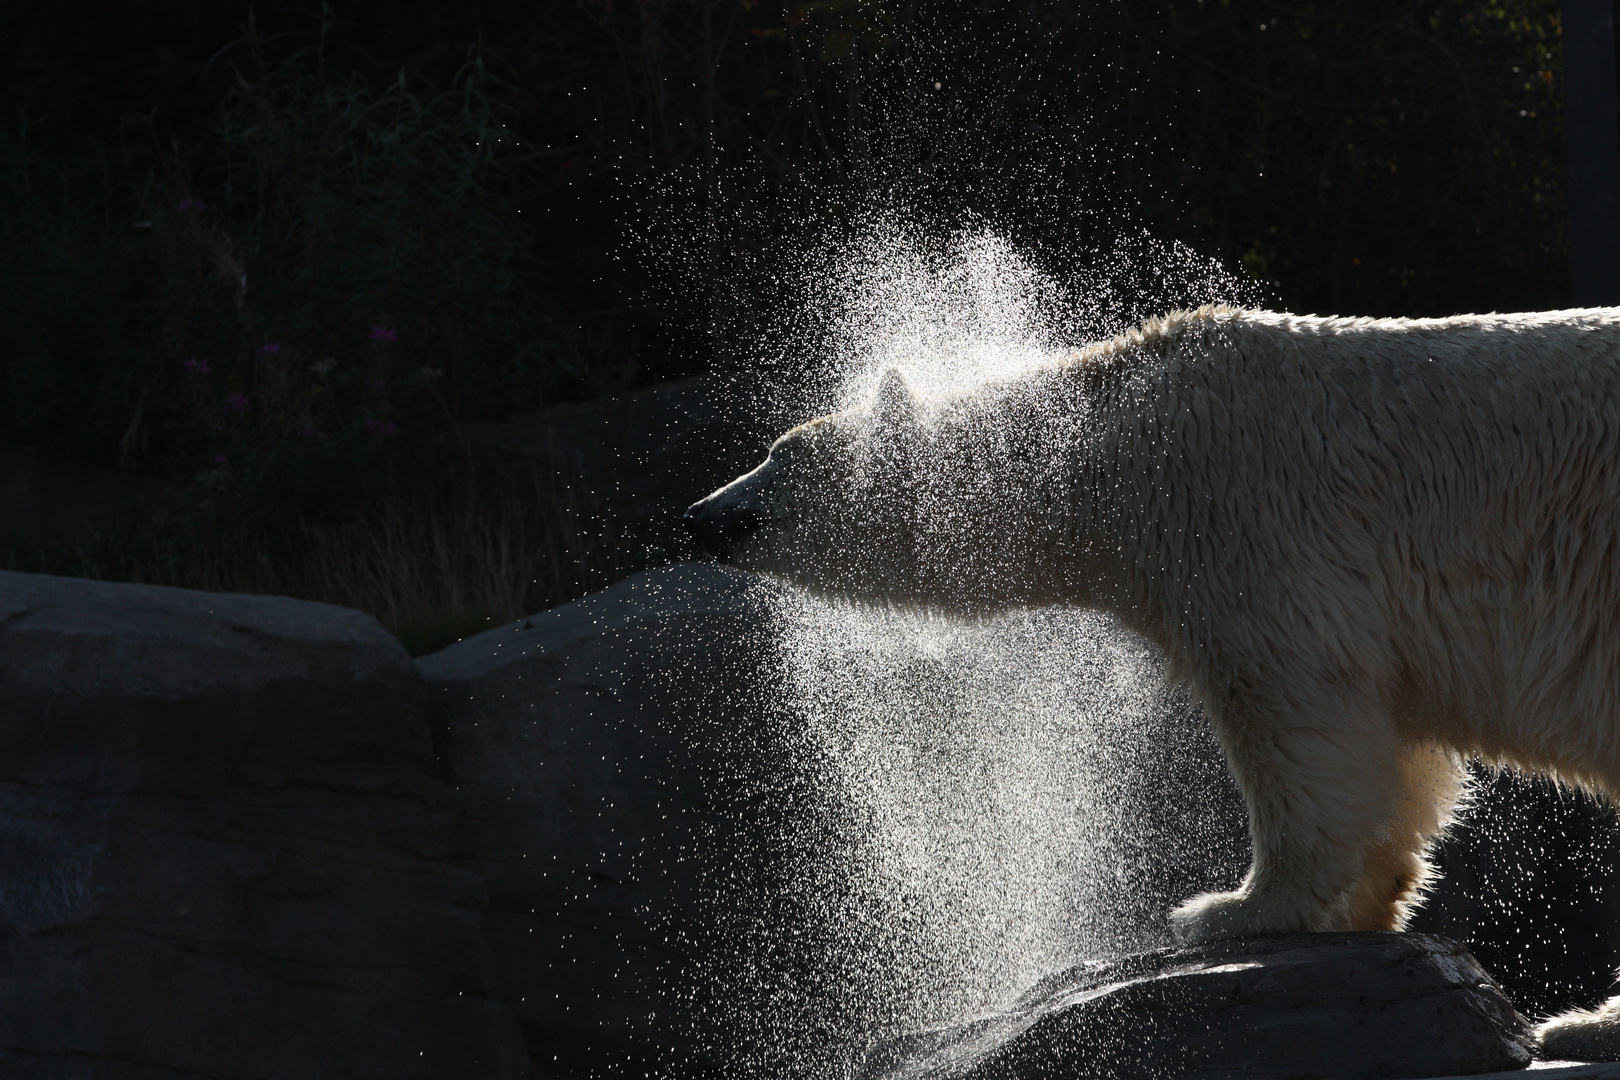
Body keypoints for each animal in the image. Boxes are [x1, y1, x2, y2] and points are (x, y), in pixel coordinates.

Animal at [683, 304, 1620, 1055]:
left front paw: (1230, 910)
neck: (1124, 439)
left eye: (781, 456)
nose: (702, 516)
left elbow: (1299, 721)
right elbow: (1403, 755)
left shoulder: (1251, 531)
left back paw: (1583, 1023)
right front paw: (1368, 903)